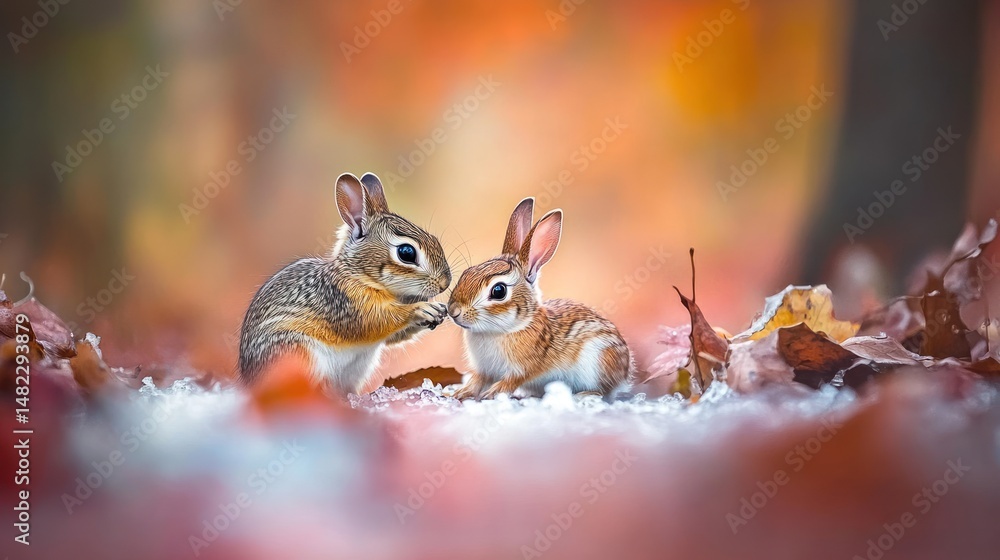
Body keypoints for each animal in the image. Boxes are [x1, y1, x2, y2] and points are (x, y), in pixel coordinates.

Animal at [238, 172, 452, 396]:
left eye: (434, 239)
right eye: (406, 253)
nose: (445, 283)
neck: (358, 273)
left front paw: (439, 312)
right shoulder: (347, 303)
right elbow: (379, 320)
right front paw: (423, 309)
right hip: (297, 353)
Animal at [448, 198, 633, 401]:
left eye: (498, 291)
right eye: (467, 273)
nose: (453, 311)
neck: (506, 329)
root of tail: (625, 371)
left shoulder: (522, 369)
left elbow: (509, 382)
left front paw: (491, 394)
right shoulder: (484, 370)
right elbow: (477, 381)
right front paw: (459, 393)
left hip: (600, 359)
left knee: (604, 392)